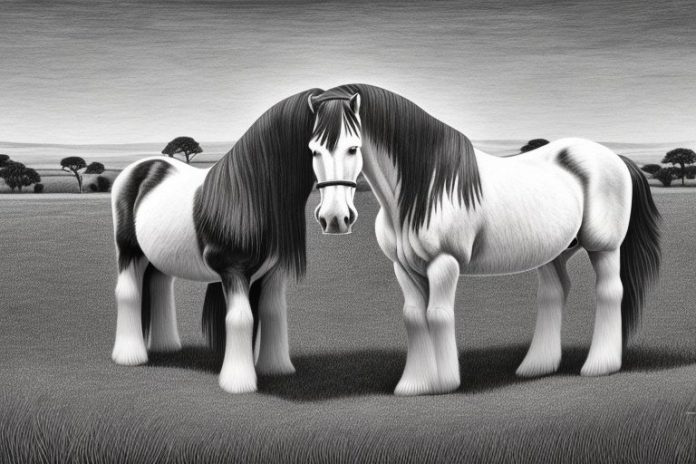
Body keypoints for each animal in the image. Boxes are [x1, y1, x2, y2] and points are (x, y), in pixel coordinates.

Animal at [110, 88, 321, 393]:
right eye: (320, 141)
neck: (249, 194)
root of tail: (139, 169)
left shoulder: (273, 272)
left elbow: (272, 313)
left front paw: (277, 369)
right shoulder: (233, 271)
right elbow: (241, 318)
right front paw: (238, 382)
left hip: (159, 257)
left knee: (159, 286)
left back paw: (166, 347)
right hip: (129, 250)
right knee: (129, 292)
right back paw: (130, 356)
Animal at [307, 84, 661, 396]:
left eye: (353, 148)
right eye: (314, 150)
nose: (334, 219)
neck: (425, 188)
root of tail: (615, 157)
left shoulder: (444, 263)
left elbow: (437, 314)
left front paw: (444, 383)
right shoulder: (404, 267)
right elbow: (413, 317)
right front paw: (414, 385)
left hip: (605, 246)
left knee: (610, 292)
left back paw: (599, 365)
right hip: (553, 251)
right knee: (554, 292)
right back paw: (536, 366)